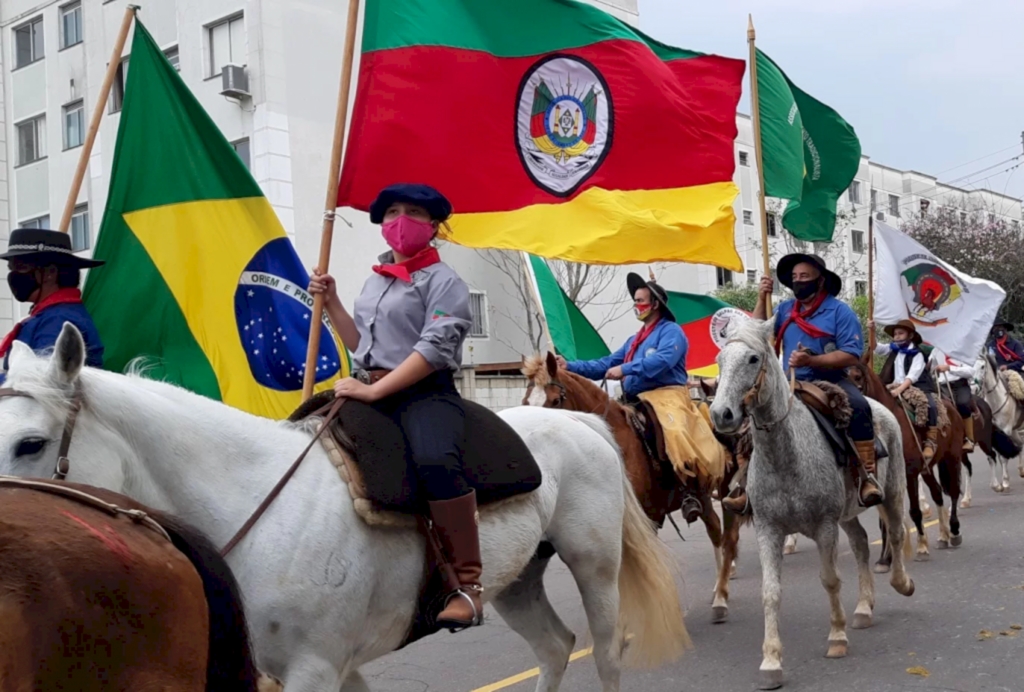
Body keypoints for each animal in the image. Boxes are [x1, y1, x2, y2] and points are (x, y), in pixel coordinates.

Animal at [520, 354, 745, 622]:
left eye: (555, 400)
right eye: (525, 401)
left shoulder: (649, 517)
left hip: (720, 489)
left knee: (721, 534)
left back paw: (721, 595)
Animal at [843, 360, 962, 565]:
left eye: (858, 377)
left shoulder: (910, 474)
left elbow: (915, 511)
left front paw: (921, 547)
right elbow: (885, 518)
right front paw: (886, 558)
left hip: (952, 457)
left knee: (953, 492)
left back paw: (954, 532)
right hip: (927, 468)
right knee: (938, 493)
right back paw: (943, 536)